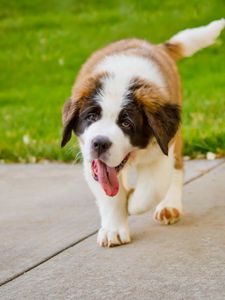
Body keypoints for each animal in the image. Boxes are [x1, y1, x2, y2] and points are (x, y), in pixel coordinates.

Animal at [60, 19, 224, 247]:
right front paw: (113, 228)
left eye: (126, 123)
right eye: (91, 117)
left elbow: (151, 189)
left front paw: (132, 201)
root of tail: (157, 47)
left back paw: (169, 205)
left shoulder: (163, 148)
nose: (99, 143)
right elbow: (109, 195)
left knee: (176, 169)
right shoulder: (90, 160)